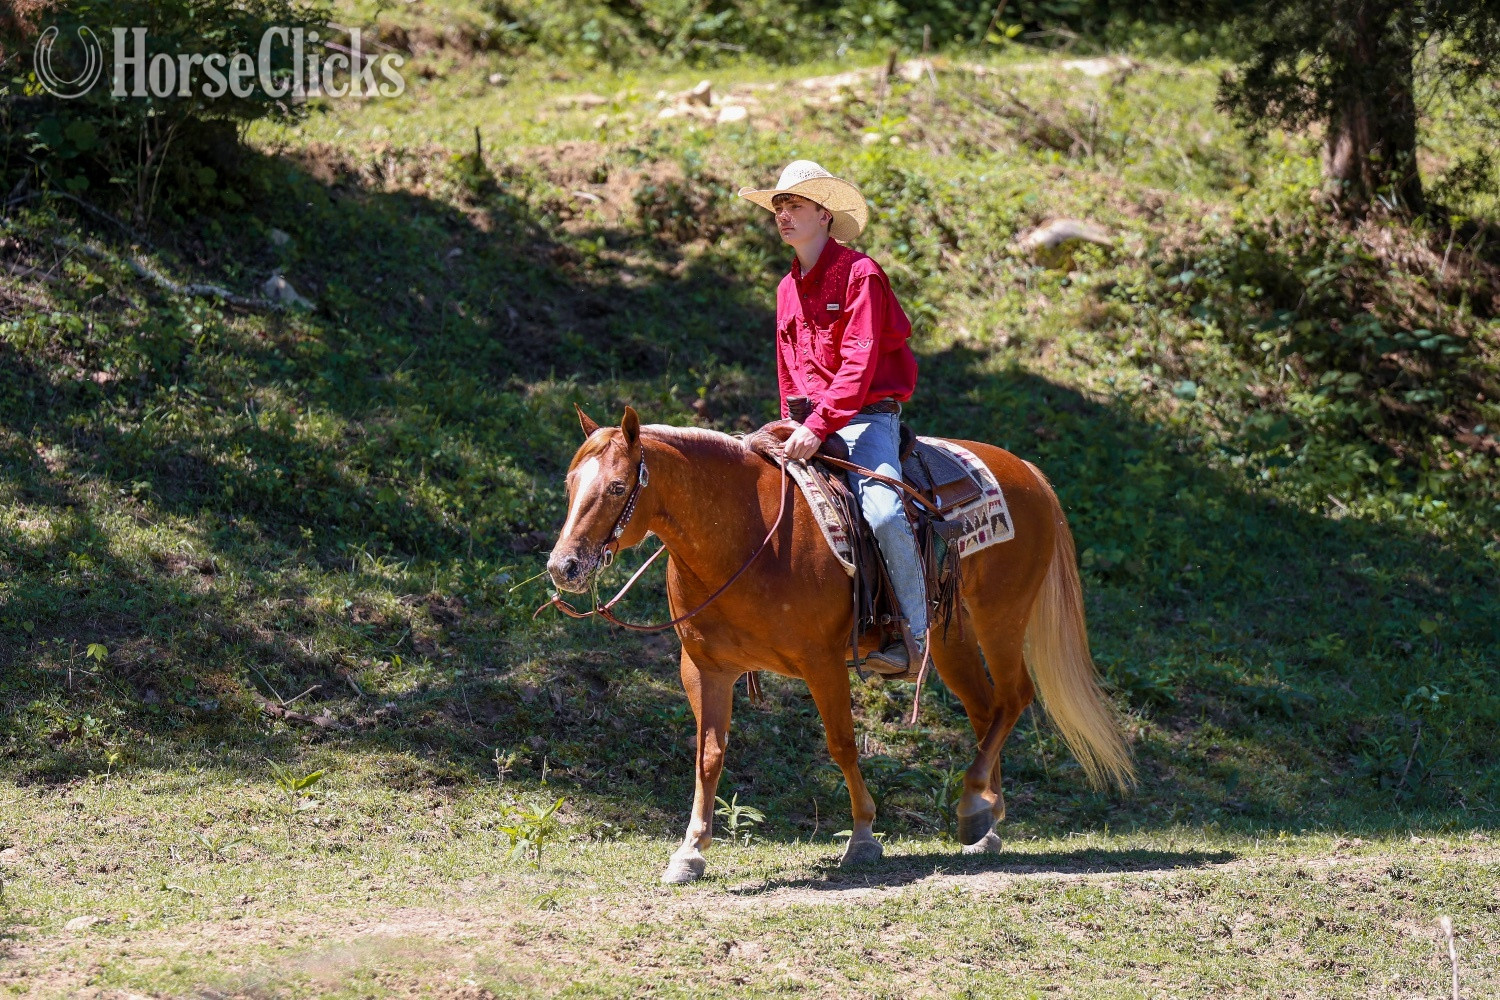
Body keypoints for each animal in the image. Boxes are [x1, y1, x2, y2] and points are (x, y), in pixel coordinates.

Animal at [546, 405, 1133, 884]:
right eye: (571, 483)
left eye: (617, 487)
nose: (563, 567)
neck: (745, 535)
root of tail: (1028, 472)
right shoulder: (704, 668)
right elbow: (708, 755)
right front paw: (690, 853)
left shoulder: (822, 662)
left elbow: (842, 745)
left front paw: (864, 839)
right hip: (951, 637)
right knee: (987, 710)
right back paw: (988, 819)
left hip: (1000, 618)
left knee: (1013, 699)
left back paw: (972, 805)